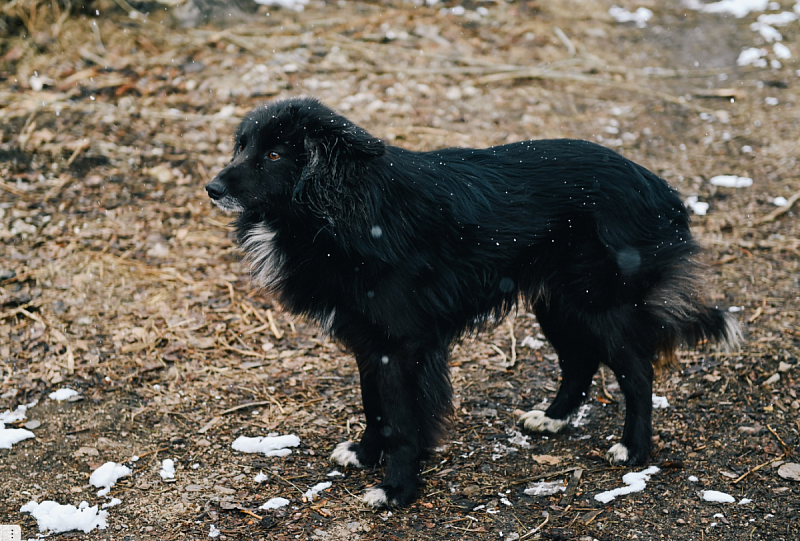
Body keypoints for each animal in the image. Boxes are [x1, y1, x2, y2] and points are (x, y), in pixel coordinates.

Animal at [205, 97, 736, 506]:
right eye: (242, 146)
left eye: (275, 154)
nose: (211, 188)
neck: (341, 207)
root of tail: (660, 187)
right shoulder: (368, 340)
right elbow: (375, 406)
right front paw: (364, 454)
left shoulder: (402, 345)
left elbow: (402, 420)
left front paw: (396, 490)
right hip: (556, 302)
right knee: (580, 361)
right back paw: (553, 418)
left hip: (600, 304)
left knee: (637, 375)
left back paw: (634, 451)